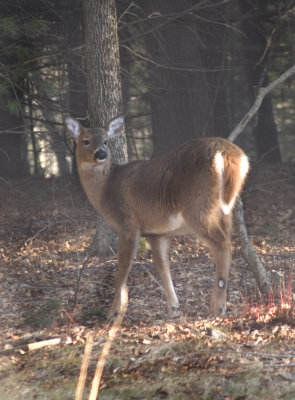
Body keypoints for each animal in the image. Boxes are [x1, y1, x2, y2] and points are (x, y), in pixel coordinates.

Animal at [65, 115, 250, 318]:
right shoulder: (157, 232)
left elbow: (122, 269)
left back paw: (218, 306)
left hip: (198, 207)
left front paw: (114, 312)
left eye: (106, 141)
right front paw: (173, 307)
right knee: (228, 241)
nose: (101, 154)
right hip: (226, 210)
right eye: (86, 141)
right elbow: (162, 266)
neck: (106, 189)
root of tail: (230, 154)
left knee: (222, 244)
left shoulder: (128, 223)